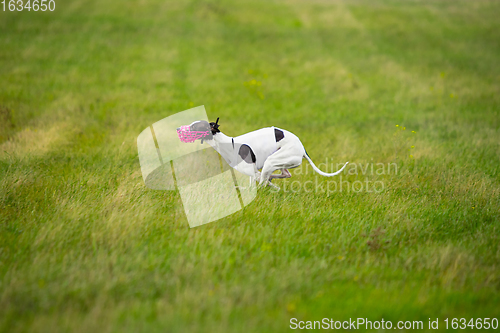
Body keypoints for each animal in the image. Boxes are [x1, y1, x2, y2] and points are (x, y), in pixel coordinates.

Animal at [178, 118, 350, 189]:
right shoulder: (251, 172)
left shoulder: (251, 171)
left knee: (265, 179)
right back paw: (271, 179)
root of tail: (302, 149)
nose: (178, 128)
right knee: (285, 174)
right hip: (280, 161)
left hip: (272, 161)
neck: (228, 144)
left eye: (194, 127)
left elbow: (256, 183)